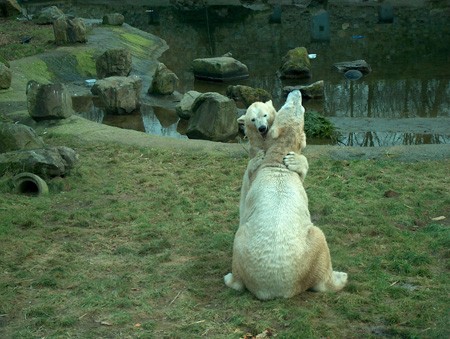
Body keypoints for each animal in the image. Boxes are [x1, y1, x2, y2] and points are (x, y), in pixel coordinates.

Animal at [225, 89, 348, 300]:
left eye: (299, 106)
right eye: (289, 105)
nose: (296, 91)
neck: (276, 160)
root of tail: (276, 288)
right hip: (308, 249)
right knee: (320, 241)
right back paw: (340, 277)